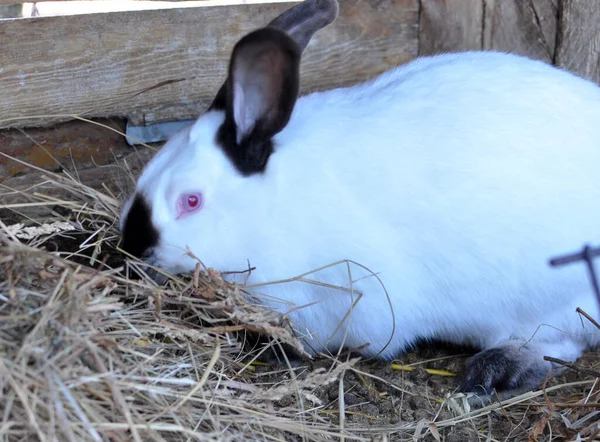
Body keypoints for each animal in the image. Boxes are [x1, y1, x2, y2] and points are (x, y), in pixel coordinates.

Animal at [119, 0, 600, 398]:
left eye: (191, 202)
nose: (130, 248)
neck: (269, 205)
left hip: (546, 298)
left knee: (561, 342)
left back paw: (497, 369)